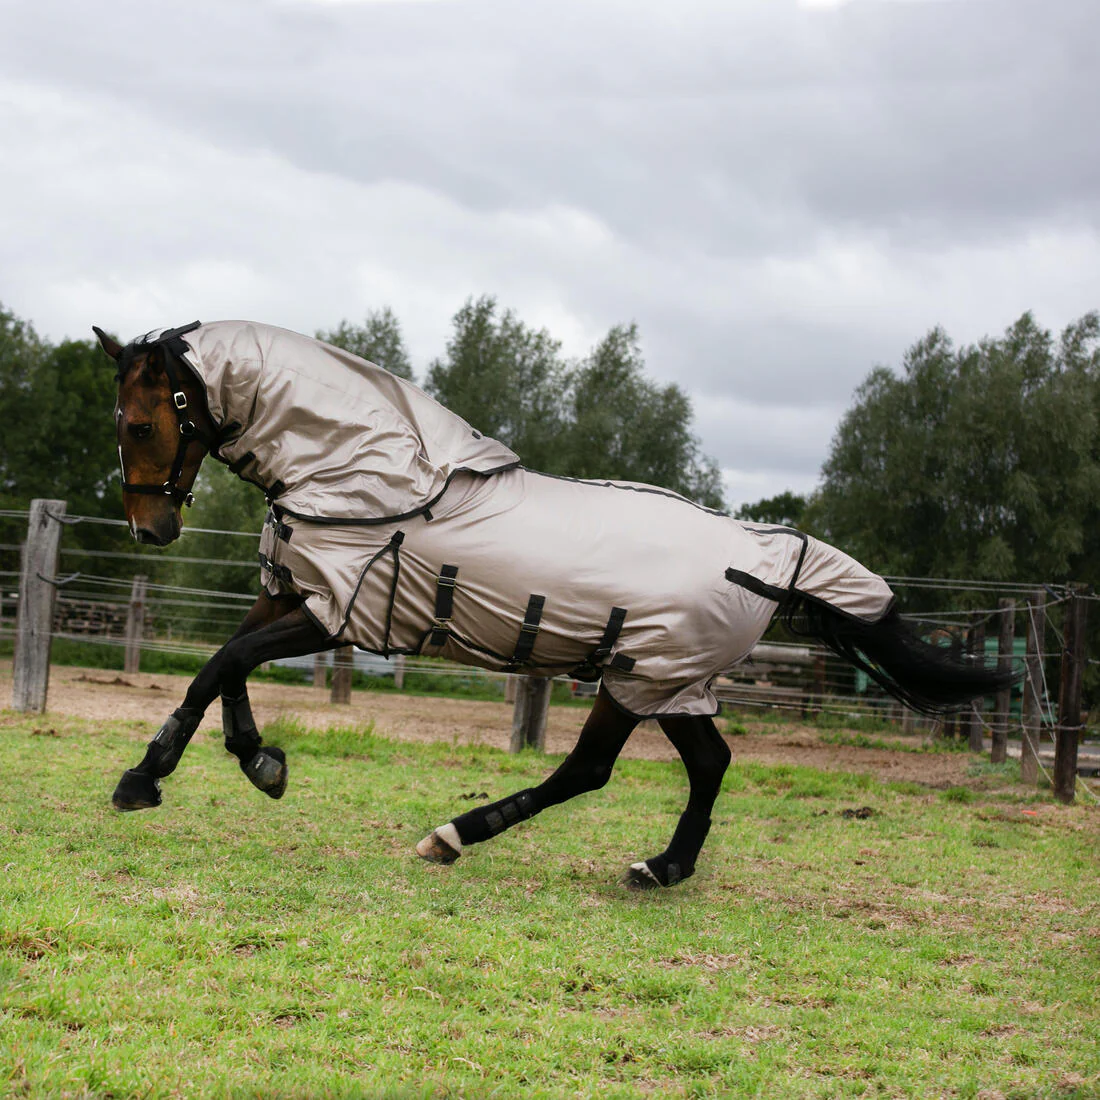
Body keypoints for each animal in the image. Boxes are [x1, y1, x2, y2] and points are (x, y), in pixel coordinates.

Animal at [97, 320, 1015, 889]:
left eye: (139, 425)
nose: (150, 529)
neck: (362, 471)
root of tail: (767, 556)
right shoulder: (294, 594)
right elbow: (223, 670)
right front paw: (241, 763)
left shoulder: (334, 611)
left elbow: (224, 662)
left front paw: (168, 774)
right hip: (674, 685)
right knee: (707, 765)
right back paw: (661, 869)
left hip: (641, 676)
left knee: (591, 768)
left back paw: (456, 835)